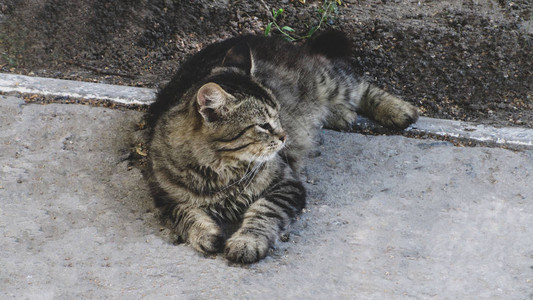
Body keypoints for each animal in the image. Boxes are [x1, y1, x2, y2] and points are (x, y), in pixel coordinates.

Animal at [144, 31, 416, 264]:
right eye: (264, 125)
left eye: (278, 113)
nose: (285, 136)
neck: (221, 173)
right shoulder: (164, 198)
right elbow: (188, 215)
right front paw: (206, 234)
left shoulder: (286, 184)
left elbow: (263, 212)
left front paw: (247, 242)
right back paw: (341, 115)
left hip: (327, 80)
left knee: (360, 84)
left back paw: (400, 110)